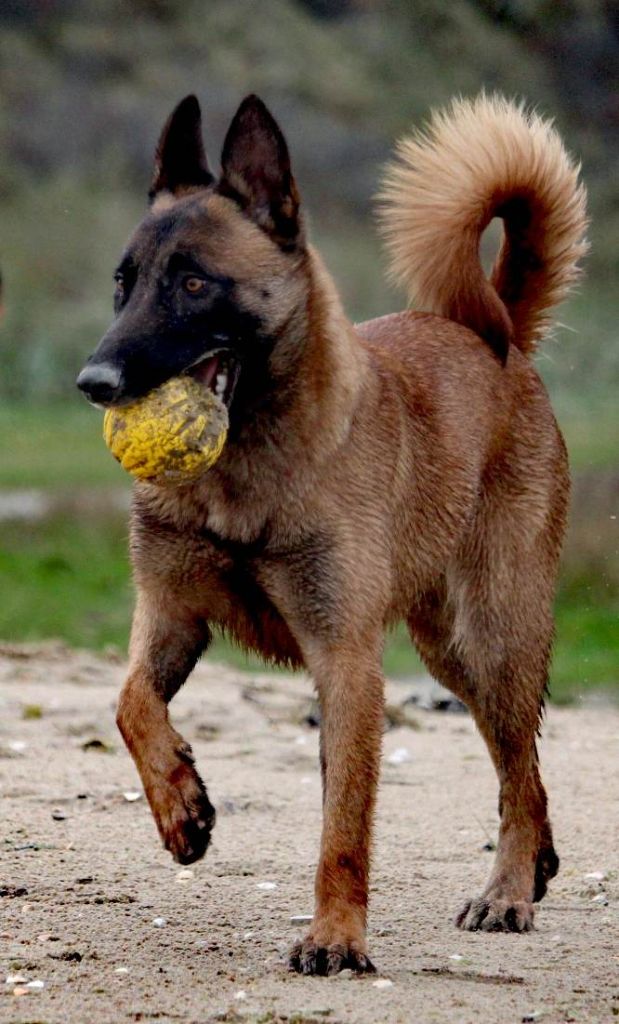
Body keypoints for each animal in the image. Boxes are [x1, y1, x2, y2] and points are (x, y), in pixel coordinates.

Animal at [76, 90, 586, 974]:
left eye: (194, 282)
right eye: (123, 283)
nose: (94, 383)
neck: (244, 475)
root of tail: (496, 337)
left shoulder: (346, 663)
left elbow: (343, 825)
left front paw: (336, 937)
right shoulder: (171, 616)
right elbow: (131, 702)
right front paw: (181, 806)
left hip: (496, 634)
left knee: (517, 764)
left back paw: (508, 890)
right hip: (447, 653)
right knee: (517, 761)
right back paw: (539, 865)